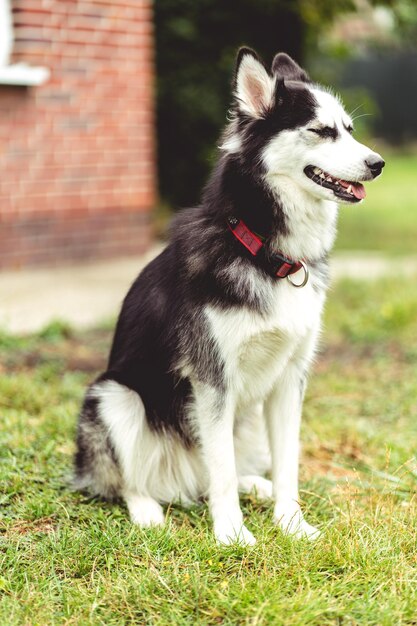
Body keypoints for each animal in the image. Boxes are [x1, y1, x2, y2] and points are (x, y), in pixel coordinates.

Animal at [74, 48, 384, 544]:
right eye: (321, 131)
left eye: (350, 130)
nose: (378, 163)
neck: (266, 252)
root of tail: (177, 479)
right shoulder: (212, 379)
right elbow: (219, 466)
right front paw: (233, 534)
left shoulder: (289, 378)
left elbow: (286, 463)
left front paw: (291, 522)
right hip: (115, 398)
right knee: (134, 480)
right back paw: (147, 511)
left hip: (246, 415)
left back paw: (255, 485)